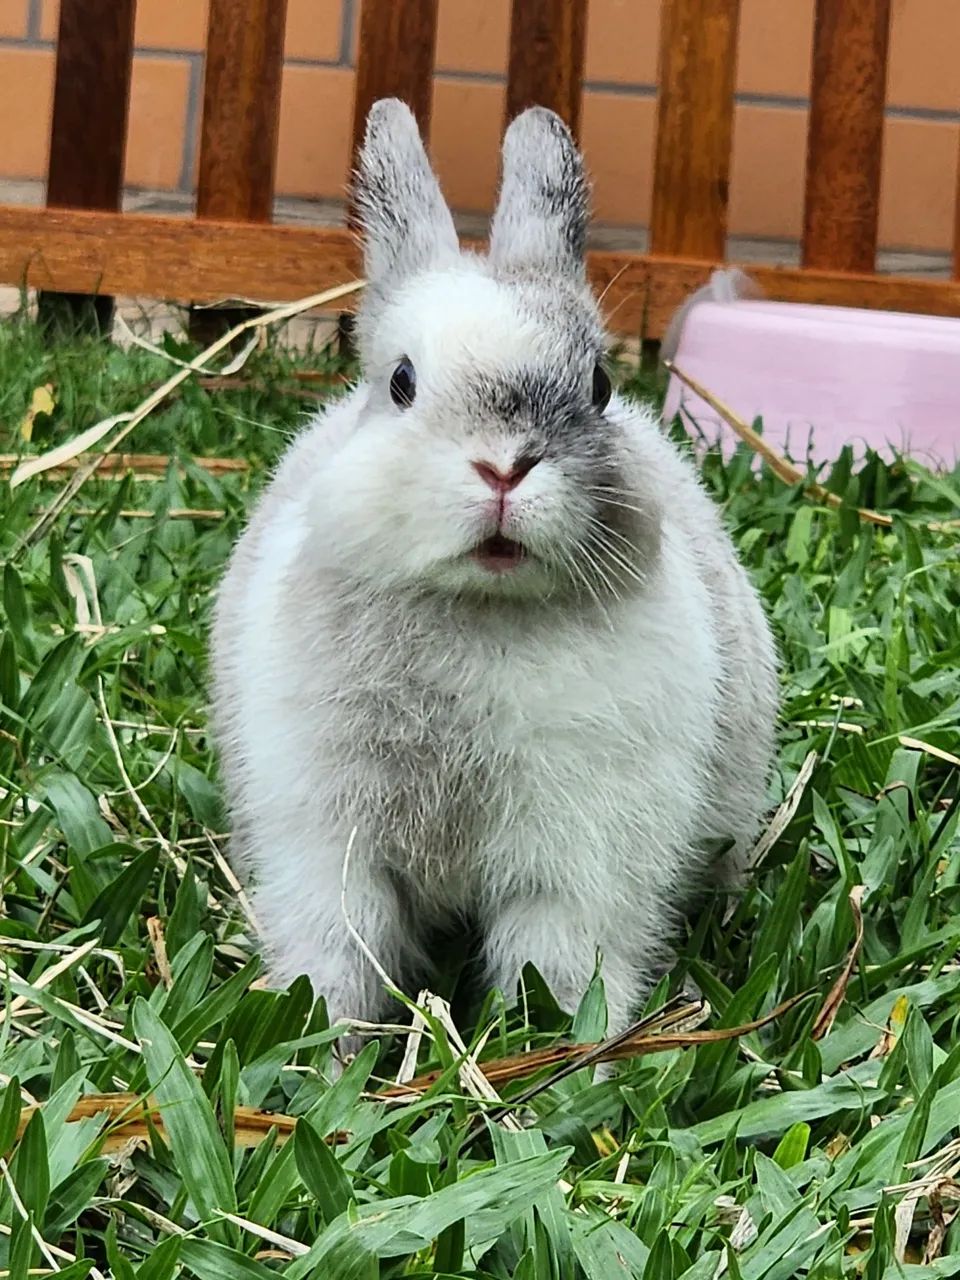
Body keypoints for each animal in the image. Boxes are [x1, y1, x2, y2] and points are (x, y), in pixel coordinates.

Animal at [210, 98, 778, 1042]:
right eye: (401, 382)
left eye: (598, 384)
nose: (505, 468)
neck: (478, 609)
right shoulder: (326, 847)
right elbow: (340, 953)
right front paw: (319, 1051)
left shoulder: (578, 863)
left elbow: (556, 970)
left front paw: (557, 1059)